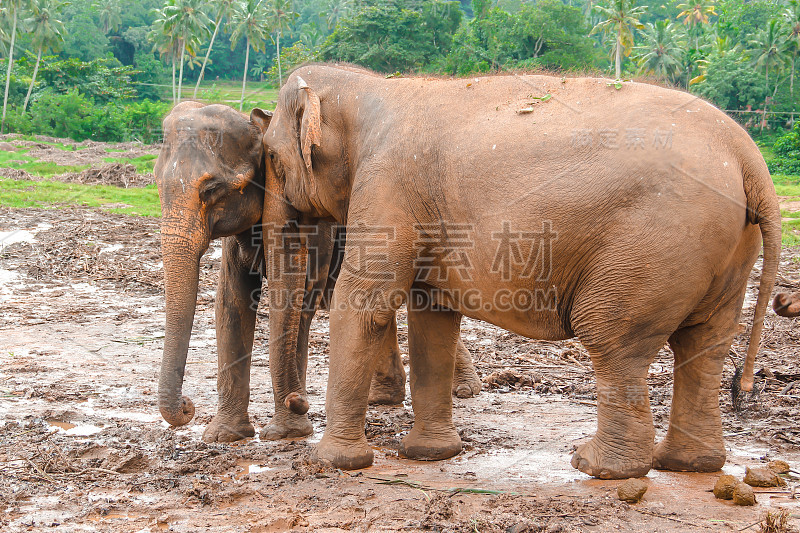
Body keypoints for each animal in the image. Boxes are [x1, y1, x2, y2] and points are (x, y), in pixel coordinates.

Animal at [154, 102, 482, 442]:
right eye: (156, 184)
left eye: (211, 189)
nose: (187, 406)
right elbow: (231, 303)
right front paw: (224, 436)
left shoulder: (319, 232)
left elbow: (300, 302)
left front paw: (285, 432)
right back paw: (384, 398)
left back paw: (464, 390)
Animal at [258, 63, 780, 478]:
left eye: (272, 158)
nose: (295, 411)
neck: (367, 85)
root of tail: (748, 156)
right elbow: (432, 313)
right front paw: (430, 455)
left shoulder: (389, 183)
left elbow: (366, 301)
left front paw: (335, 462)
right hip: (724, 252)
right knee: (703, 345)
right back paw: (688, 464)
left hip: (652, 244)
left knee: (614, 340)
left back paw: (597, 466)